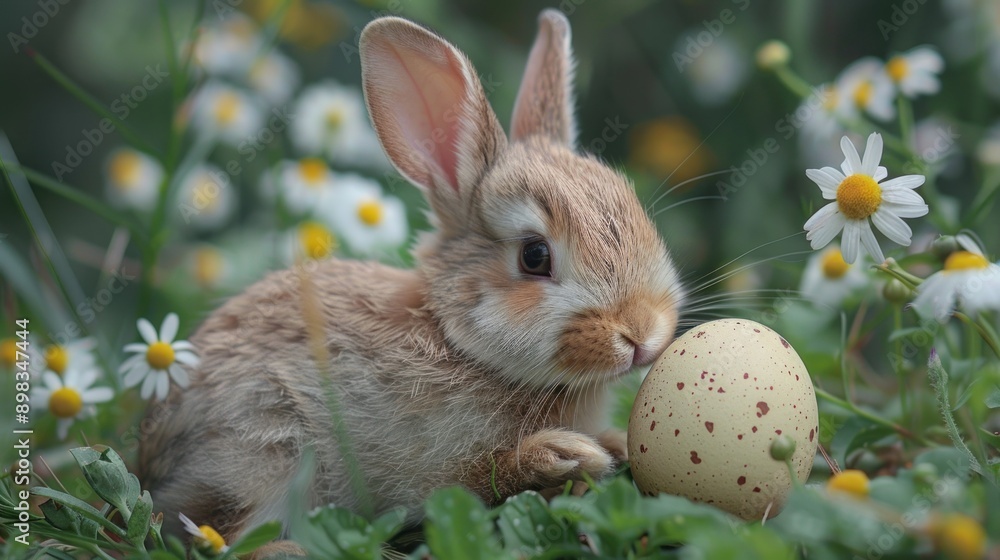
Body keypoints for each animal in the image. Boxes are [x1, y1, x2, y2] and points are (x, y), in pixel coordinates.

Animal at [138, 8, 684, 547]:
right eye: (534, 256)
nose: (641, 333)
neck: (456, 340)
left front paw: (611, 446)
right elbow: (477, 478)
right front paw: (566, 454)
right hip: (265, 454)